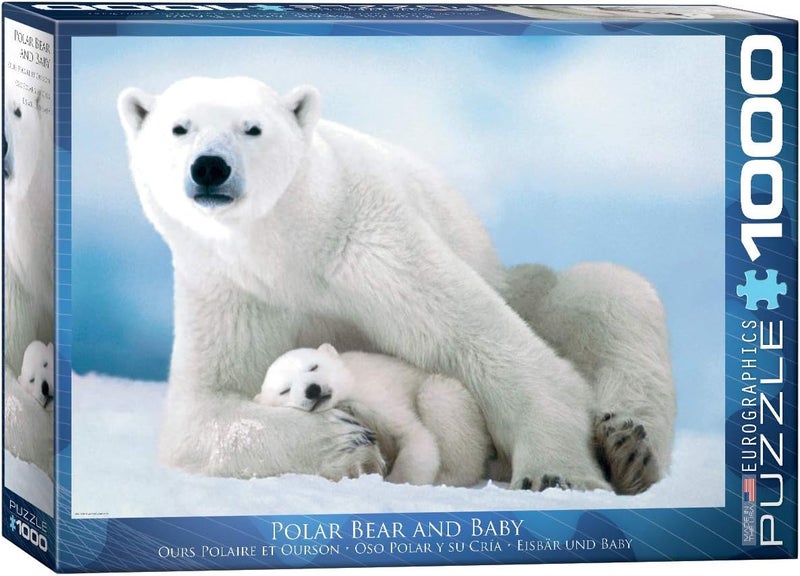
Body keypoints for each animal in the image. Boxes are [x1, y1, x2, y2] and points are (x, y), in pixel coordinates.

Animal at [256, 343, 494, 487]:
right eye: (285, 390)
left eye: (313, 366)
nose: (312, 390)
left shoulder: (376, 395)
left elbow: (414, 435)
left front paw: (399, 481)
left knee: (438, 394)